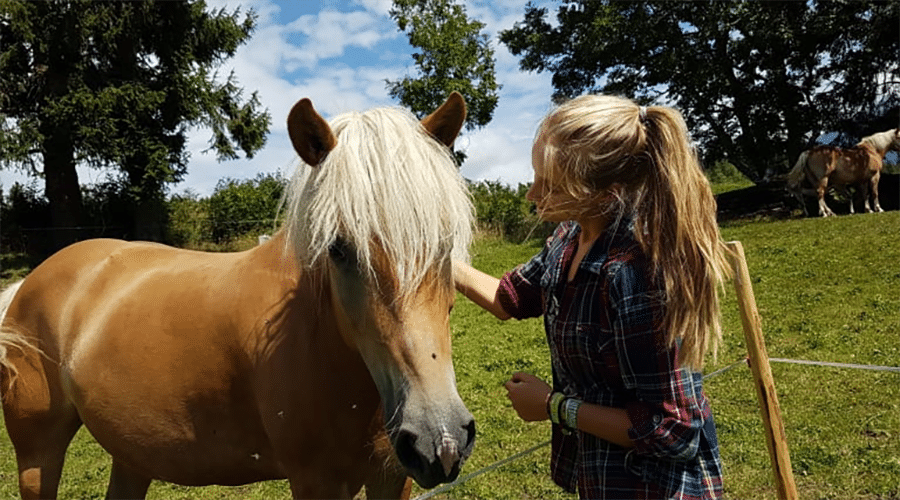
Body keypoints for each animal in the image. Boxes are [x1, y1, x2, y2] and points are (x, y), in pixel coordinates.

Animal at [0, 93, 478, 496]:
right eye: (338, 249)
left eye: (445, 243)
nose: (441, 438)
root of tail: (28, 283)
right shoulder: (317, 481)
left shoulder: (392, 477)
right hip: (38, 454)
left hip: (131, 454)